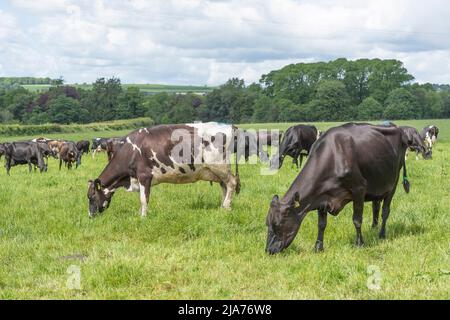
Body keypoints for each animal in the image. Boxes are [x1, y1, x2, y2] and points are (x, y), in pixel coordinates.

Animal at [89, 122, 243, 218]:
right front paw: (140, 214)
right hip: (216, 171)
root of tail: (229, 126)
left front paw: (143, 217)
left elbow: (144, 199)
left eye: (91, 197)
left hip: (220, 166)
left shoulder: (144, 176)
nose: (90, 216)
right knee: (224, 186)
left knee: (231, 183)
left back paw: (226, 206)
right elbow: (142, 198)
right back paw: (224, 207)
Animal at [266, 123, 410, 255]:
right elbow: (321, 224)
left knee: (385, 211)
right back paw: (373, 228)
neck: (333, 157)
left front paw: (360, 243)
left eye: (278, 224)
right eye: (267, 223)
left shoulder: (359, 189)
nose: (269, 250)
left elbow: (357, 220)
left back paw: (382, 234)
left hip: (393, 183)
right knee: (376, 205)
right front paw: (318, 247)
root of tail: (396, 127)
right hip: (377, 185)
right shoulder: (322, 196)